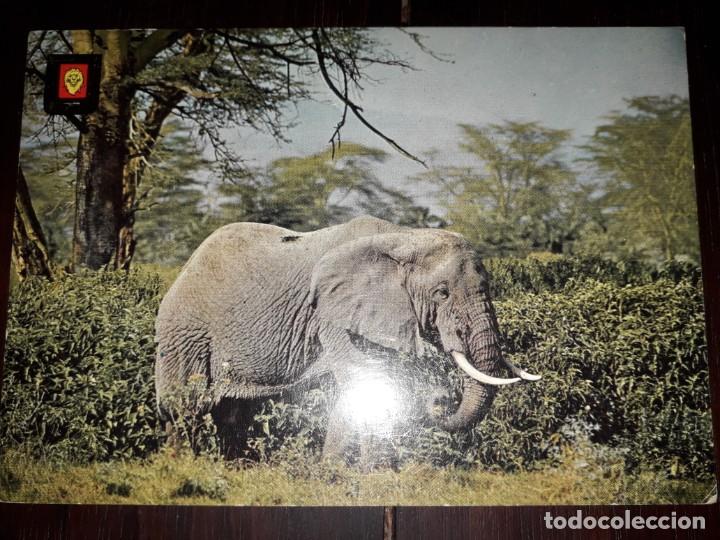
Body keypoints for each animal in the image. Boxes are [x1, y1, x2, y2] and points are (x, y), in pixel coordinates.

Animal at [154, 215, 540, 460]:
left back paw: (235, 469)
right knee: (183, 405)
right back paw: (181, 468)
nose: (440, 399)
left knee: (234, 412)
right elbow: (365, 379)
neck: (404, 238)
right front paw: (373, 475)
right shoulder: (332, 316)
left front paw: (335, 473)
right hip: (184, 333)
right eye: (442, 294)